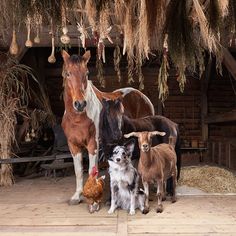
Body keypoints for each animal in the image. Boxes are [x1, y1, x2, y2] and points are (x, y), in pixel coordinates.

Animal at [60, 50, 155, 205]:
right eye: (68, 73)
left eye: (86, 73)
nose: (80, 104)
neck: (78, 118)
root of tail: (143, 97)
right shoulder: (73, 146)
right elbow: (78, 171)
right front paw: (76, 196)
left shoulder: (93, 145)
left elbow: (92, 170)